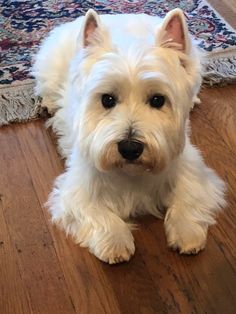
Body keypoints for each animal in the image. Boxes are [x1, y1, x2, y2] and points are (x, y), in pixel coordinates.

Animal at [32, 8, 225, 264]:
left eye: (157, 100)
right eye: (107, 99)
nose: (130, 148)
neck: (132, 172)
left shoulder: (190, 168)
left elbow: (189, 196)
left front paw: (187, 234)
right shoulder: (77, 189)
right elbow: (97, 212)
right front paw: (115, 241)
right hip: (50, 67)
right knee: (45, 87)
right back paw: (47, 103)